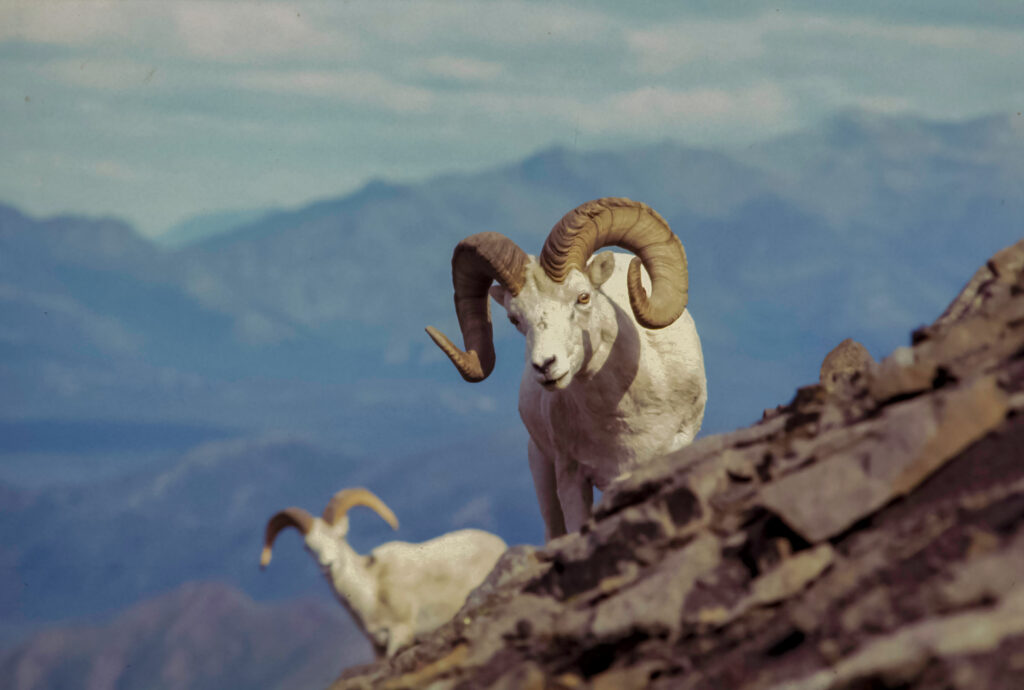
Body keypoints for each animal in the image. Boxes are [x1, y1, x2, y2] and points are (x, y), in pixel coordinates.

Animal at [260, 487, 507, 657]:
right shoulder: (376, 646)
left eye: (340, 537)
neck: (371, 593)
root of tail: (500, 545)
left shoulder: (400, 634)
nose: (327, 564)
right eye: (308, 547)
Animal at [427, 197, 707, 541]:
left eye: (583, 297)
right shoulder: (571, 476)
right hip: (540, 467)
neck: (624, 417)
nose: (545, 366)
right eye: (515, 318)